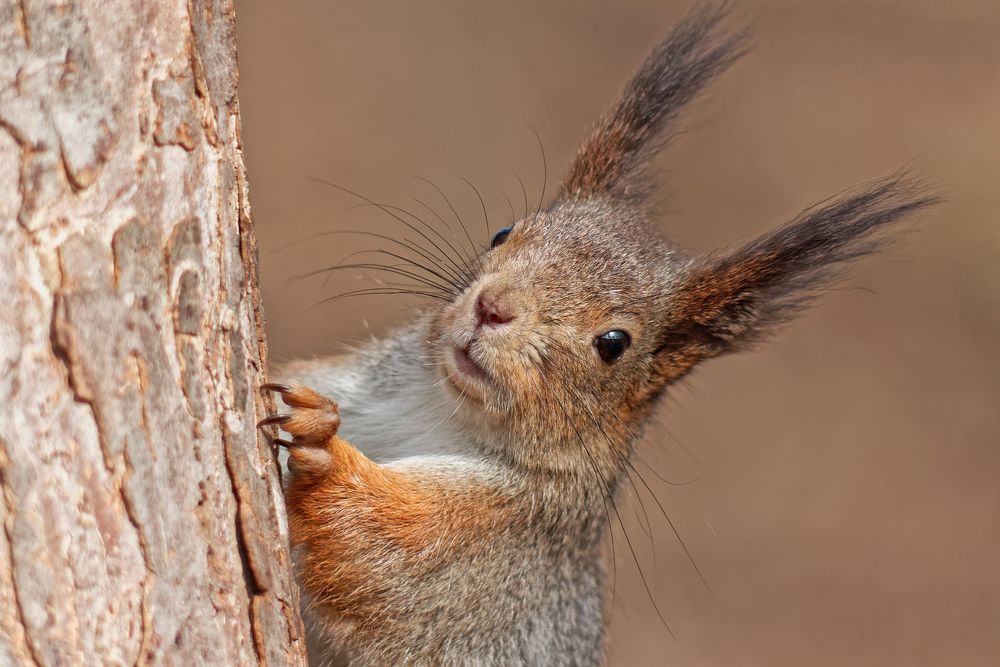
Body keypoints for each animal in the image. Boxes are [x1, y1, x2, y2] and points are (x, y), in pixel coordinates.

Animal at [262, 3, 940, 664]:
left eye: (613, 345)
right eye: (504, 231)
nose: (493, 307)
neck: (435, 408)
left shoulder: (492, 550)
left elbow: (380, 558)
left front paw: (321, 443)